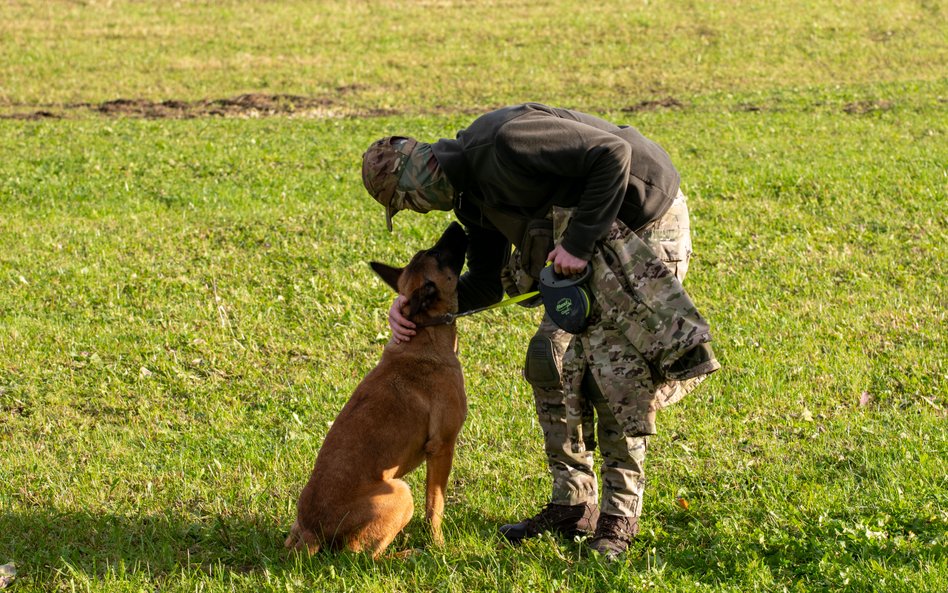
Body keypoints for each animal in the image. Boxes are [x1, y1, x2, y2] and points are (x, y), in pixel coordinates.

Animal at [286, 221, 470, 556]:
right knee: (361, 554)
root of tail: (310, 530)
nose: (456, 223)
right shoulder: (442, 447)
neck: (423, 333)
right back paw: (406, 555)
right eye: (438, 255)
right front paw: (438, 544)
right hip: (401, 491)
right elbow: (435, 506)